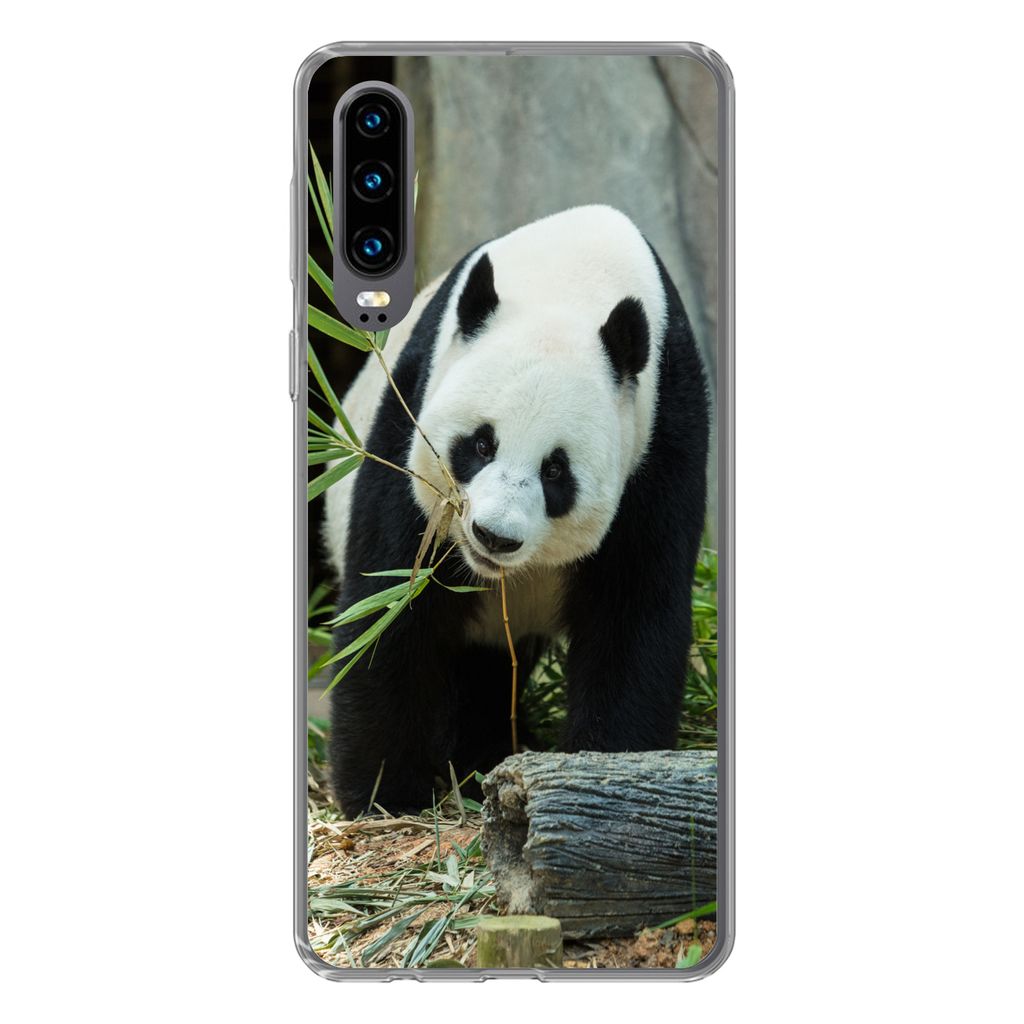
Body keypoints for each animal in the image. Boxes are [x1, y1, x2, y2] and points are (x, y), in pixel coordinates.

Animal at [323, 205, 709, 818]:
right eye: (481, 444)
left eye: (556, 471)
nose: (493, 536)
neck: (571, 279)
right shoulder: (412, 410)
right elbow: (392, 604)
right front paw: (385, 794)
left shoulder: (662, 437)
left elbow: (633, 615)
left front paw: (606, 770)